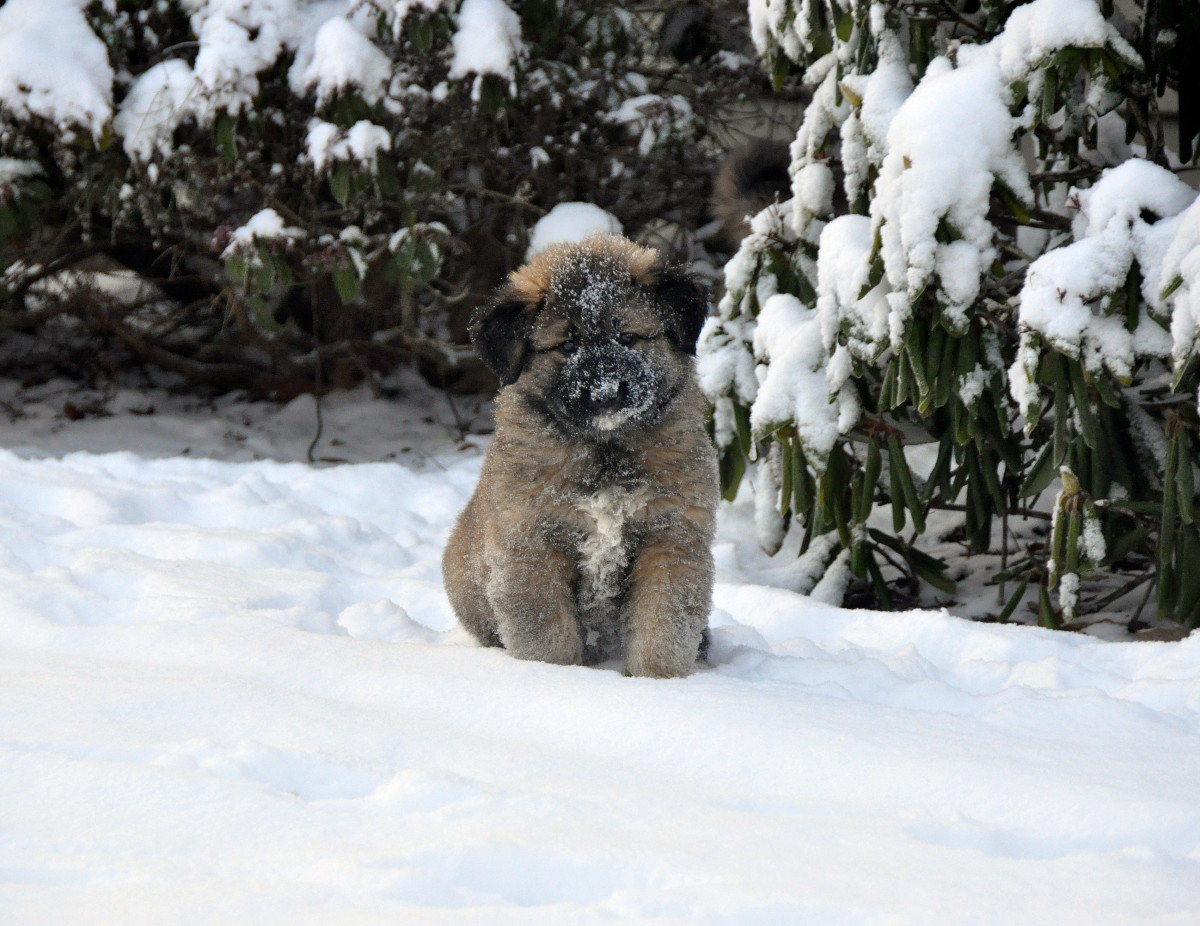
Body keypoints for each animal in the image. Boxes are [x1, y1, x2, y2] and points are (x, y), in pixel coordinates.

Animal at [444, 235, 715, 676]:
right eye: (567, 345)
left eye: (627, 337)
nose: (606, 393)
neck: (604, 452)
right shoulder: (532, 548)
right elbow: (548, 637)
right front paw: (560, 678)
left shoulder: (671, 541)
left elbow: (663, 628)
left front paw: (659, 681)